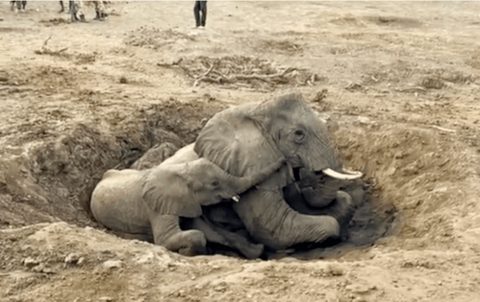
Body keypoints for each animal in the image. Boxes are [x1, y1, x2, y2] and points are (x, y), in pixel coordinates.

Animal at [91, 157, 284, 256]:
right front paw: (190, 251)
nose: (284, 160)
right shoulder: (157, 207)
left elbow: (210, 231)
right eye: (214, 183)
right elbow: (171, 238)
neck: (181, 172)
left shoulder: (188, 201)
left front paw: (257, 250)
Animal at [193, 92, 362, 250]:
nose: (307, 188)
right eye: (299, 134)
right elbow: (274, 227)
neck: (256, 112)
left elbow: (342, 201)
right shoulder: (245, 166)